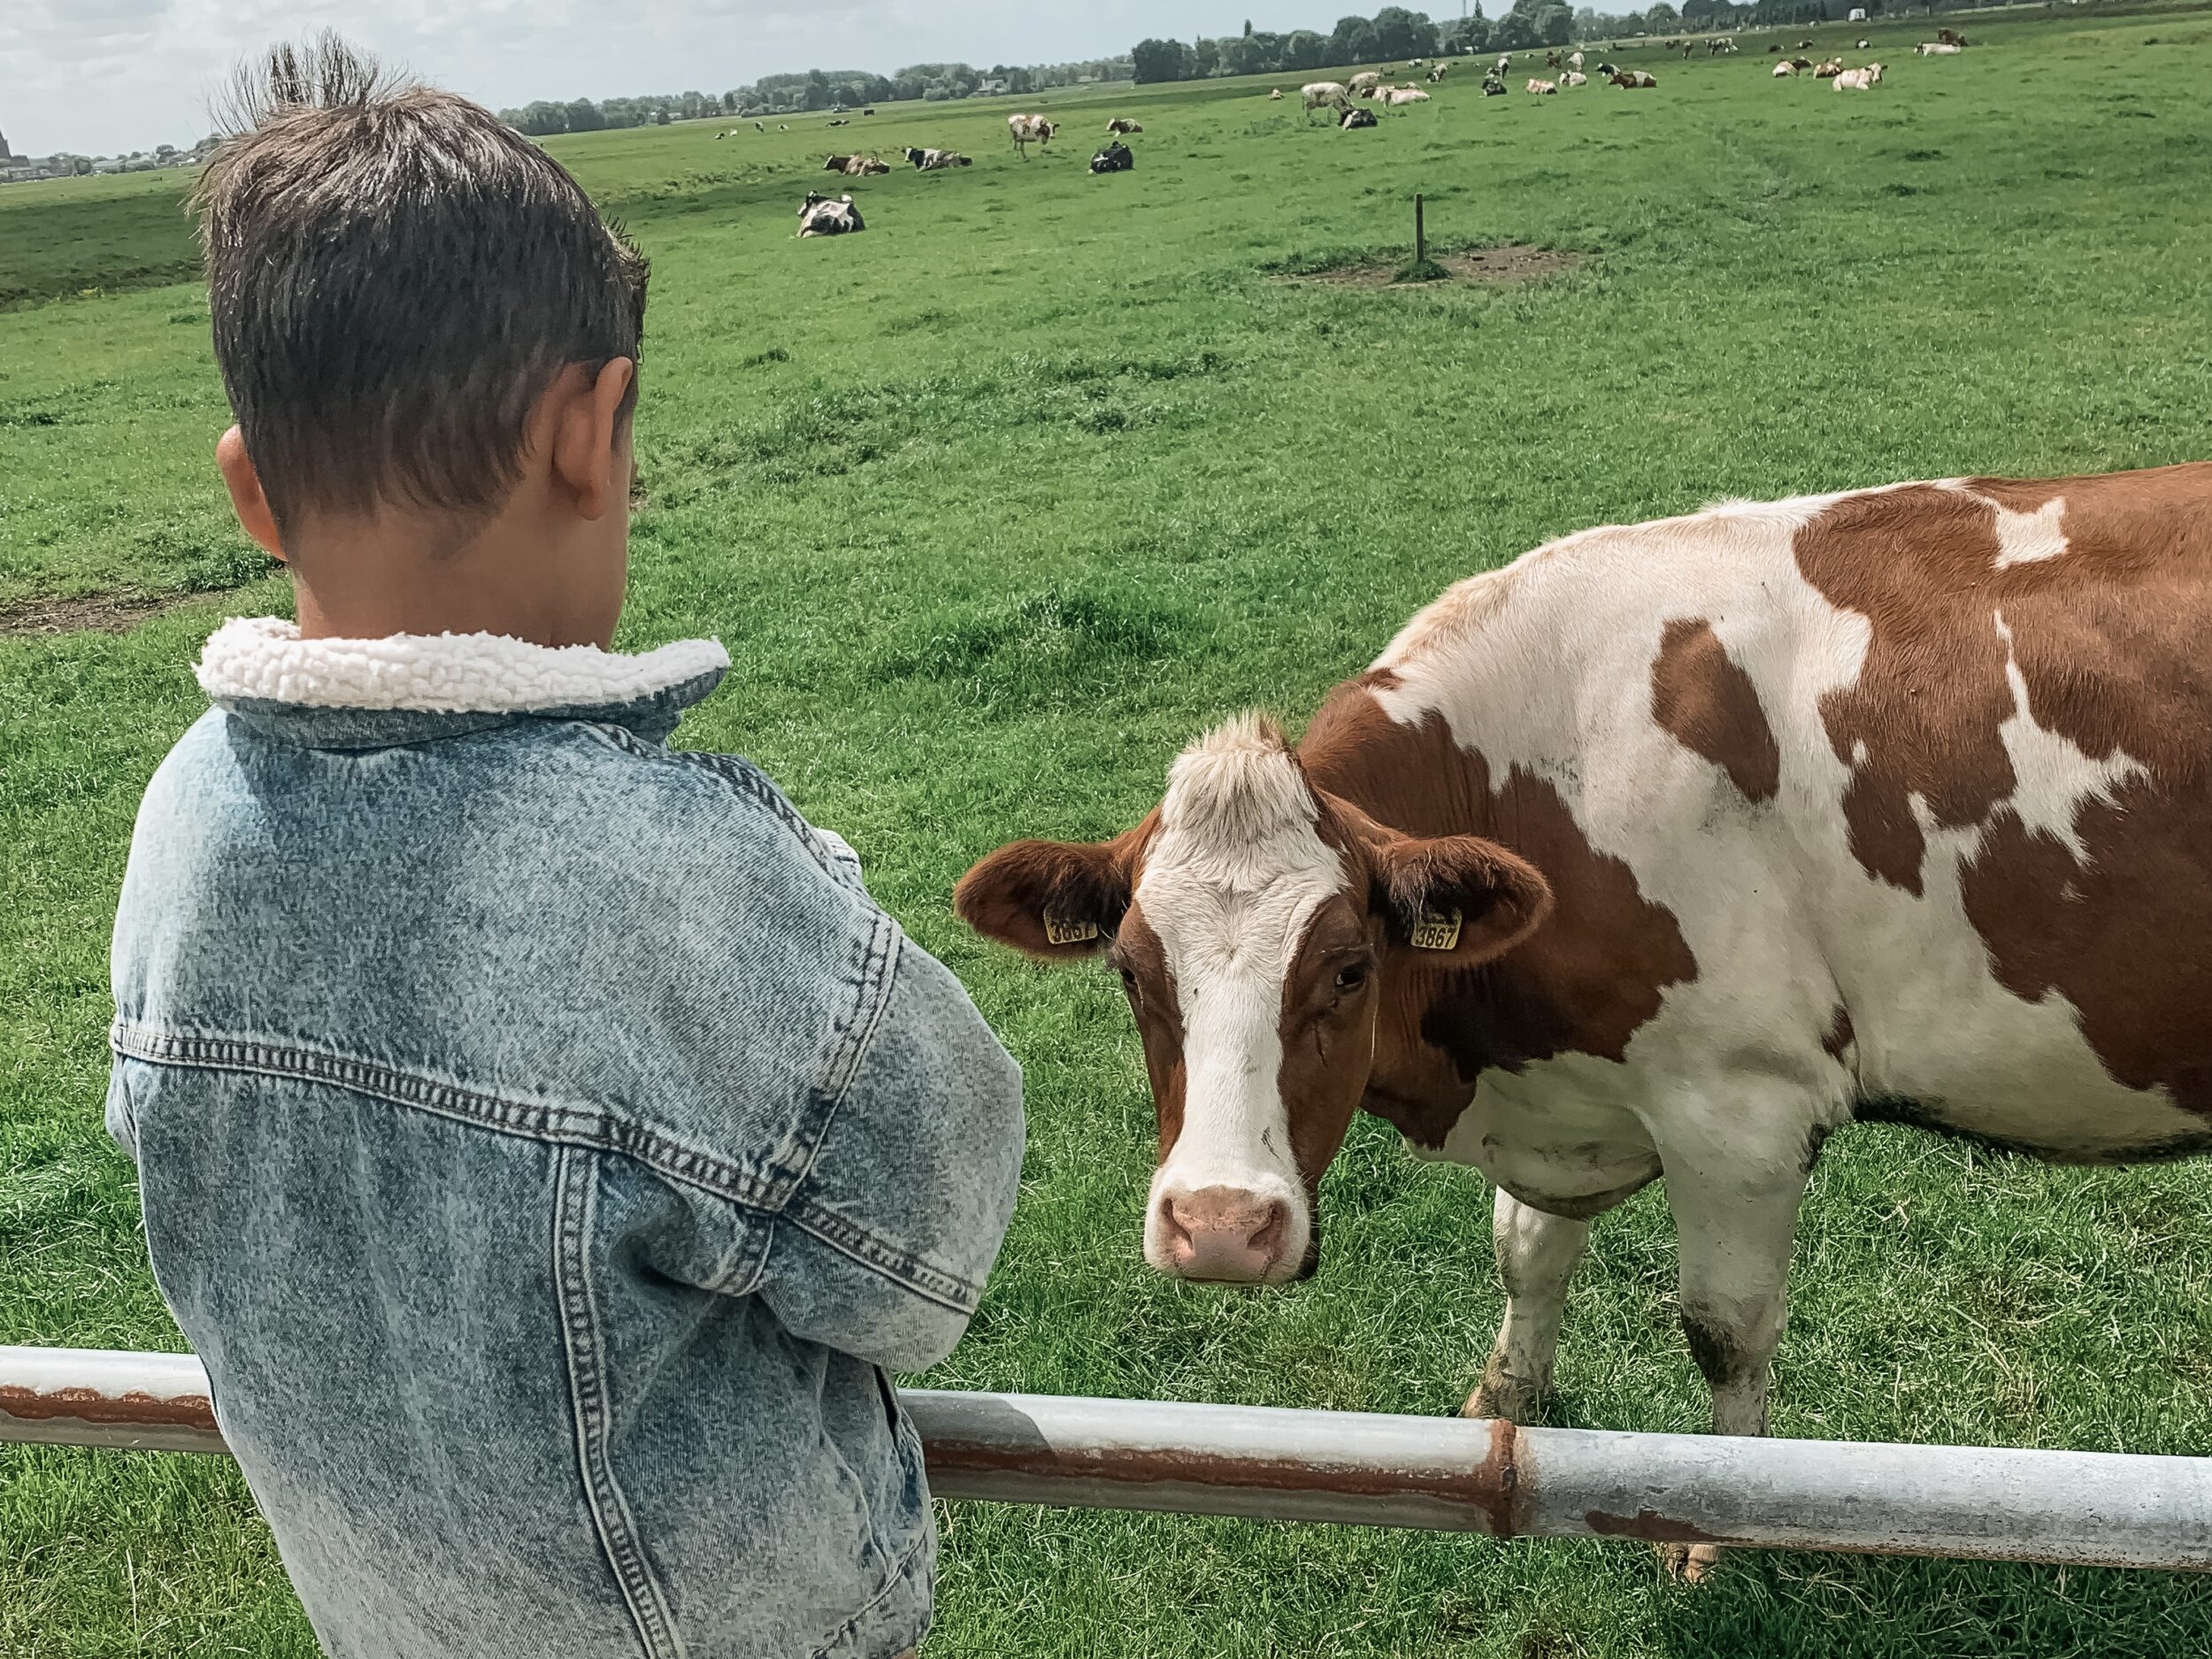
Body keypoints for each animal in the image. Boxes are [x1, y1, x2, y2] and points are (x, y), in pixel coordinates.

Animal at [964, 469, 2212, 1584]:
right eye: (1130, 972)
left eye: (1350, 968)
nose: (1220, 1227)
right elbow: (1526, 1251)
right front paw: (1501, 1401)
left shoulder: (1740, 1111)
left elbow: (1724, 1327)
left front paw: (1716, 1529)